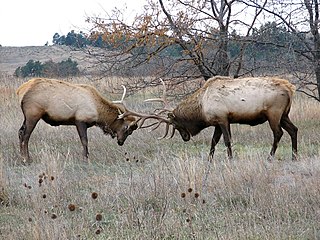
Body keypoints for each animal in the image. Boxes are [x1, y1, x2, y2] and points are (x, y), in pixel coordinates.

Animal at [122, 76, 298, 160]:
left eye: (176, 125)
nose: (185, 137)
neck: (202, 109)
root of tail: (290, 89)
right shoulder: (217, 123)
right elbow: (213, 141)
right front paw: (209, 159)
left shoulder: (223, 118)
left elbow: (227, 141)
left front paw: (230, 158)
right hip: (284, 114)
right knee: (294, 130)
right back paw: (294, 156)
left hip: (274, 113)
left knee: (278, 133)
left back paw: (270, 157)